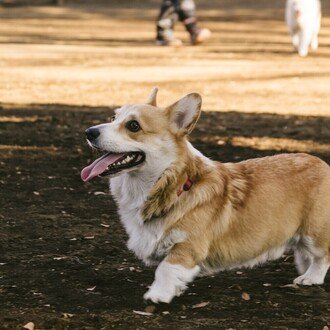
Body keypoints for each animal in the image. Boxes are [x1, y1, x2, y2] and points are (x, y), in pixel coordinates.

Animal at [80, 88, 330, 304]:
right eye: (113, 117)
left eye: (133, 126)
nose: (89, 132)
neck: (174, 187)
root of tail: (323, 164)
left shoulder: (188, 246)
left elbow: (165, 269)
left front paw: (157, 295)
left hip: (314, 233)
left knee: (322, 256)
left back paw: (310, 277)